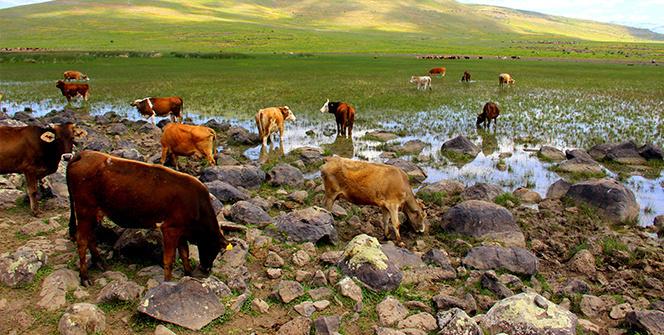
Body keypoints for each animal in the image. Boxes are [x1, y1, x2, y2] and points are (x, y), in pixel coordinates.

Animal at [67, 151, 232, 288]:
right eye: (214, 247)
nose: (206, 268)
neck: (197, 206)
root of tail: (83, 154)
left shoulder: (180, 231)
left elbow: (185, 255)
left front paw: (190, 275)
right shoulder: (170, 228)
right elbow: (169, 260)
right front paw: (167, 283)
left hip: (94, 212)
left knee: (89, 237)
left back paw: (98, 262)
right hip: (84, 209)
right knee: (81, 239)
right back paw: (85, 277)